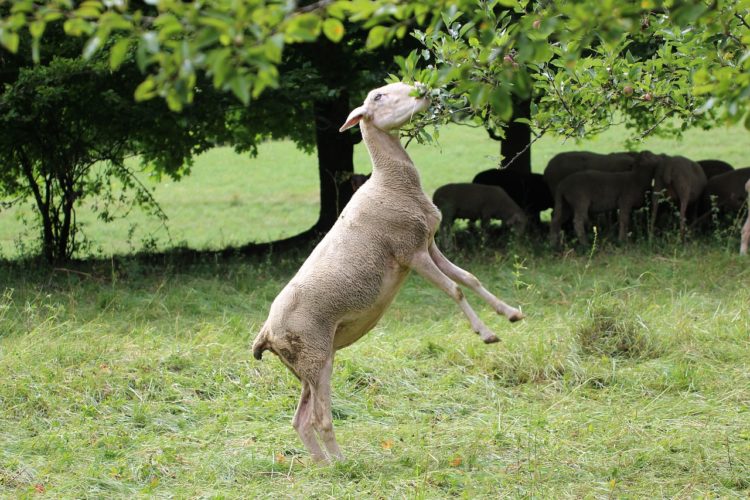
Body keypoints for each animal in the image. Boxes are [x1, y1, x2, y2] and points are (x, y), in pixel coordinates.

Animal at [252, 83, 524, 462]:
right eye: (378, 97)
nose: (424, 90)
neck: (390, 182)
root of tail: (266, 333)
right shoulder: (410, 252)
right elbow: (454, 290)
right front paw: (485, 333)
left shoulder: (429, 244)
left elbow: (469, 278)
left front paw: (510, 313)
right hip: (314, 355)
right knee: (319, 418)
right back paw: (341, 465)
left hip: (306, 364)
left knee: (300, 420)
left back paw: (323, 465)